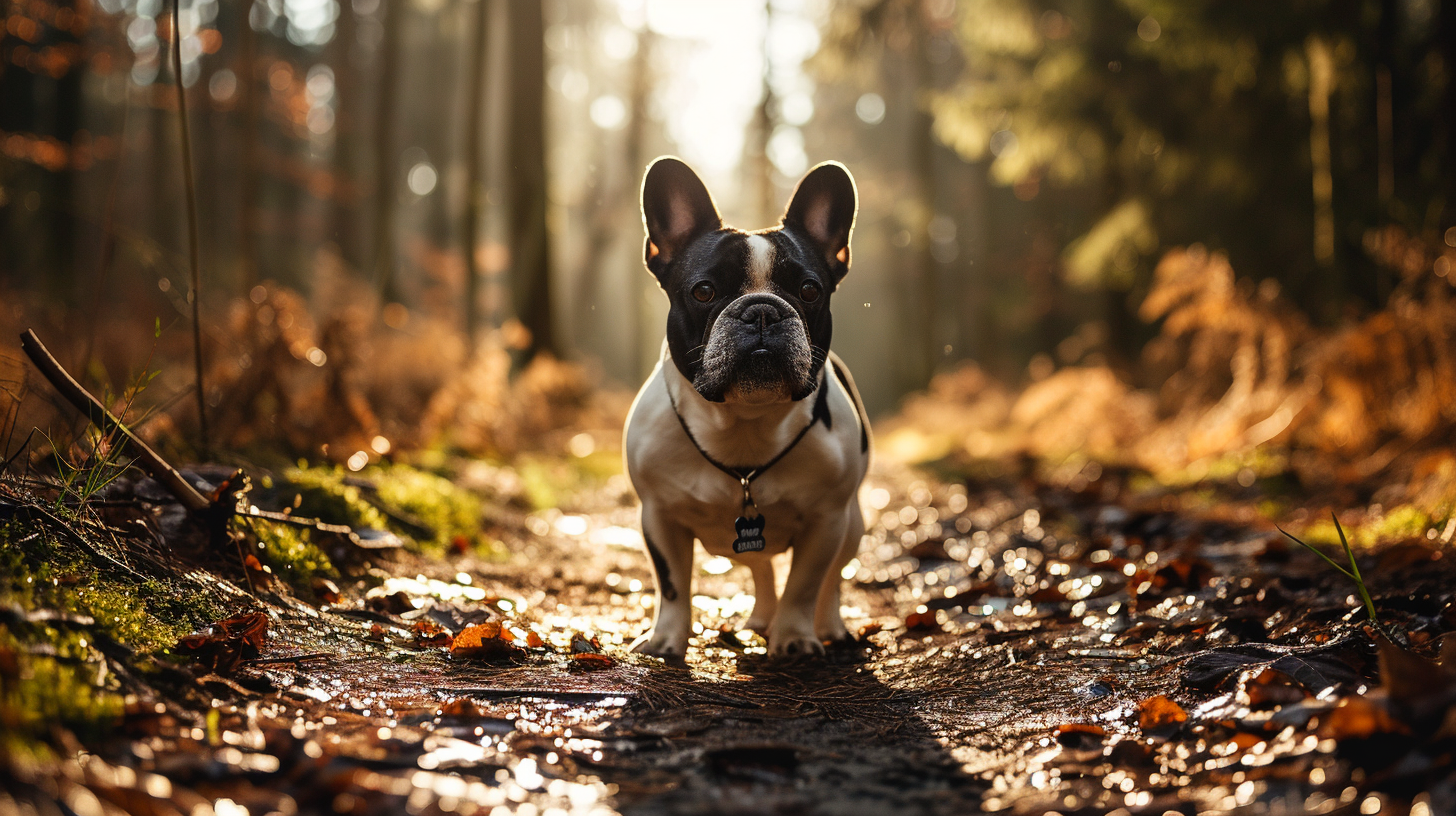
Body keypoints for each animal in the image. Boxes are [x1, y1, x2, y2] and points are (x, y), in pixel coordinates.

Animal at [623, 158, 867, 655]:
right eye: (703, 291)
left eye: (809, 290)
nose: (761, 310)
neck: (745, 422)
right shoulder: (658, 516)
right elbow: (671, 584)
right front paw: (666, 641)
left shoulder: (827, 521)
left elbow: (806, 583)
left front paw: (794, 638)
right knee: (761, 566)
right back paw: (759, 618)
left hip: (852, 526)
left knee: (832, 580)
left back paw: (827, 627)